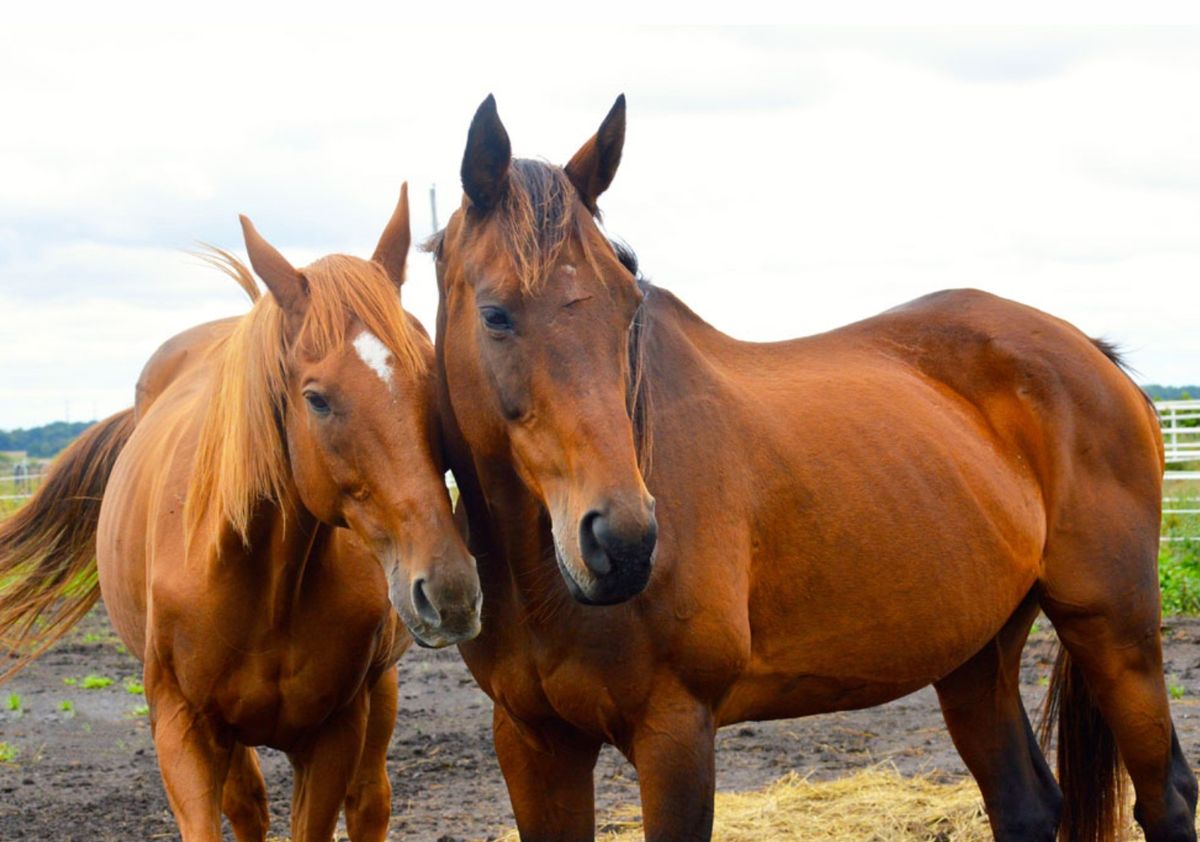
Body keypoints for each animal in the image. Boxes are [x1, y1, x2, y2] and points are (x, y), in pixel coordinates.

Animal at [0, 185, 477, 842]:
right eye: (316, 399)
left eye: (435, 380)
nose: (451, 589)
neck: (264, 582)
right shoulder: (184, 731)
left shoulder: (333, 735)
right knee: (250, 804)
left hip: (380, 691)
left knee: (370, 802)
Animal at [434, 98, 1200, 842]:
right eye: (495, 314)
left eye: (630, 305)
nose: (622, 543)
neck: (543, 581)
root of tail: (1093, 353)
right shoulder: (533, 743)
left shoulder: (675, 730)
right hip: (976, 654)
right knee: (1027, 804)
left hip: (1116, 630)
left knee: (1164, 799)